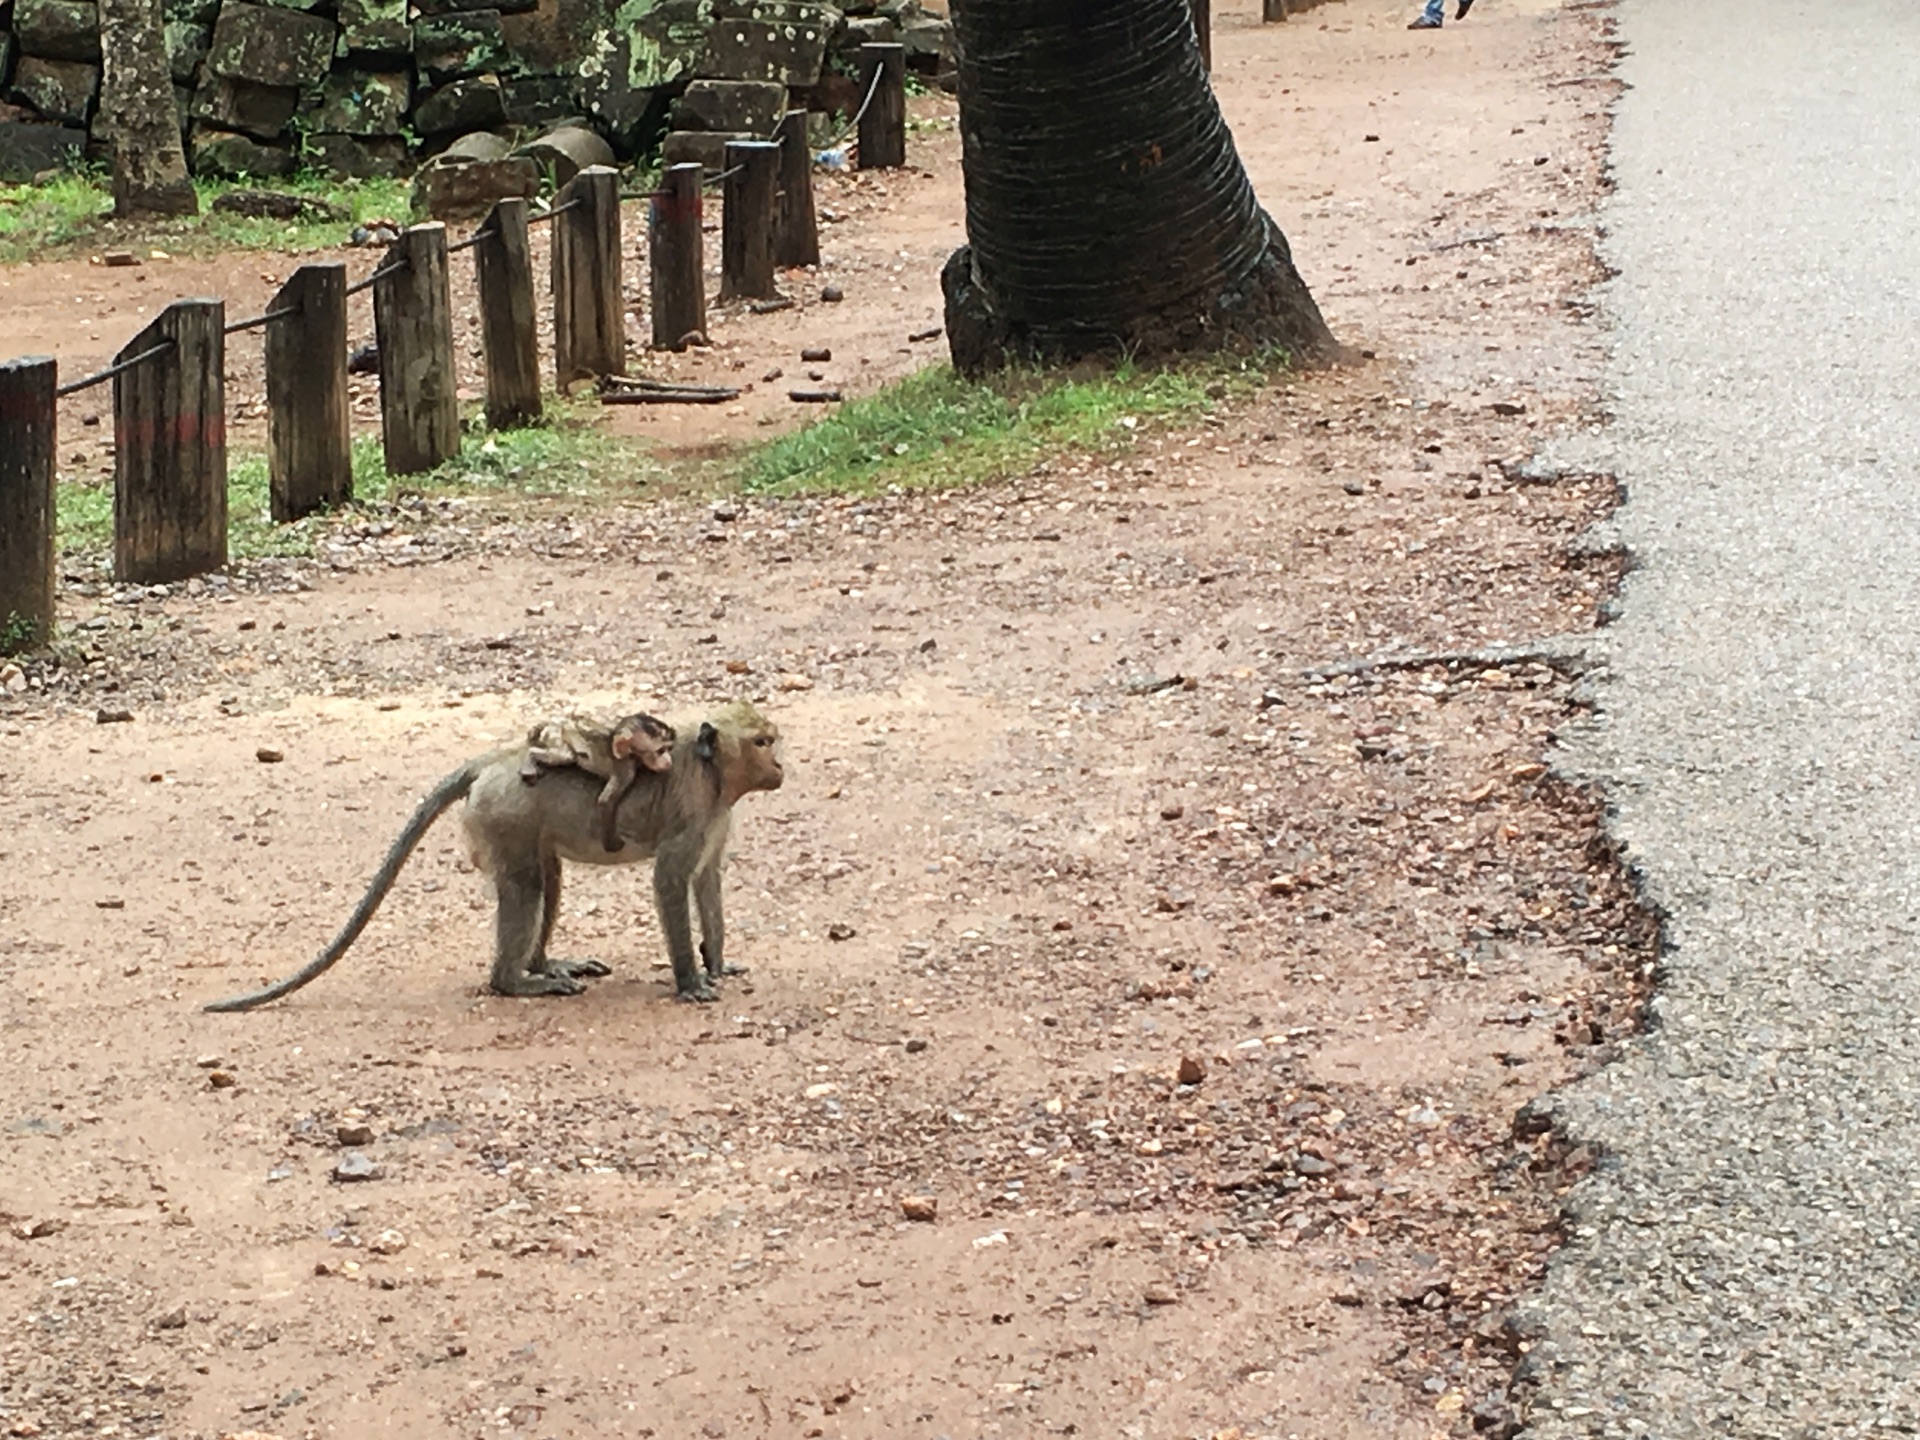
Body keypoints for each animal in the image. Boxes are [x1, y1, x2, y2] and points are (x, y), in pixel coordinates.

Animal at [522, 714, 679, 852]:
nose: (669, 761)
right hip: (557, 735)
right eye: (660, 751)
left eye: (669, 748)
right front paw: (612, 844)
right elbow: (605, 802)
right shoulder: (625, 769)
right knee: (566, 755)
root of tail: (556, 721)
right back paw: (530, 757)